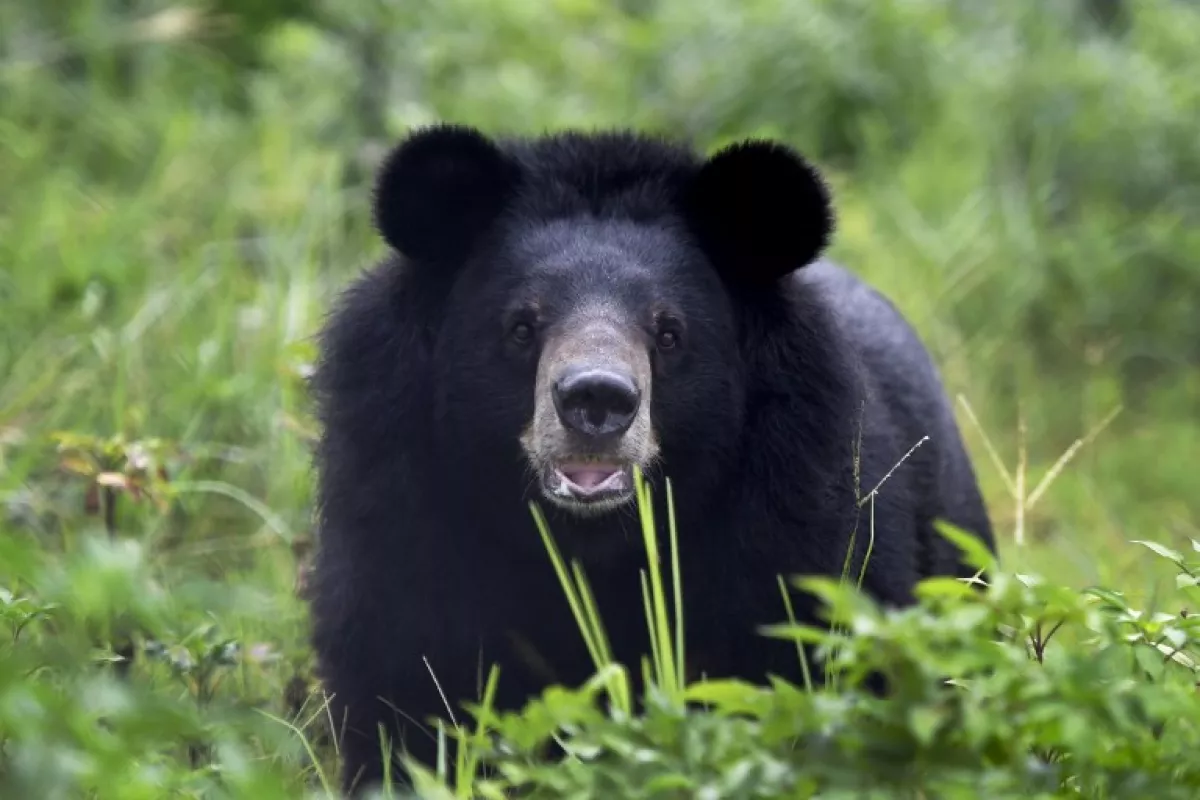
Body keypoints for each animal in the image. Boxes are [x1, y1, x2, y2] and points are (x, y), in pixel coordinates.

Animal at [307, 123, 996, 796]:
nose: (596, 399)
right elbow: (410, 688)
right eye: (522, 327)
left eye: (668, 332)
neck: (593, 542)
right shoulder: (403, 515)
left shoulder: (797, 522)